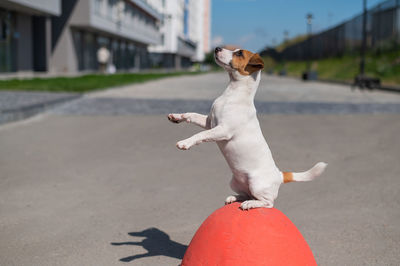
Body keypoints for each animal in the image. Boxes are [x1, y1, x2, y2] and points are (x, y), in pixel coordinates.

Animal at [167, 47, 326, 210]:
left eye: (239, 53)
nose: (217, 48)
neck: (232, 93)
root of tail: (279, 174)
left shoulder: (223, 130)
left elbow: (201, 134)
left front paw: (185, 143)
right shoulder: (209, 122)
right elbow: (191, 115)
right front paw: (176, 116)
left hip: (257, 184)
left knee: (268, 203)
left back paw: (250, 204)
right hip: (235, 183)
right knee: (246, 194)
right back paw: (234, 198)